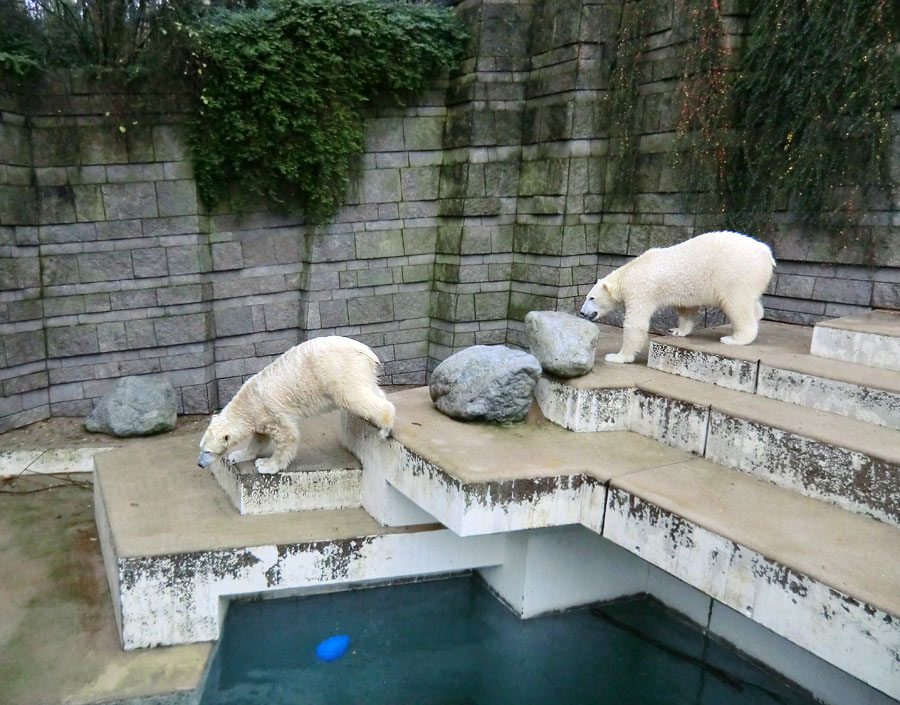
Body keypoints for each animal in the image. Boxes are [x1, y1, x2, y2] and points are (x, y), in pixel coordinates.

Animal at [197, 336, 394, 472]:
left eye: (207, 451)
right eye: (201, 447)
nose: (199, 464)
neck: (248, 402)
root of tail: (366, 351)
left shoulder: (271, 411)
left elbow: (287, 436)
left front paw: (266, 465)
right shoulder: (259, 417)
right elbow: (259, 438)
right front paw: (237, 455)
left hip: (340, 371)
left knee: (353, 396)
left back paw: (385, 426)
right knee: (370, 390)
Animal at [580, 231, 776, 364]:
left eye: (591, 298)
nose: (582, 313)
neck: (629, 271)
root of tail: (768, 254)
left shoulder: (641, 289)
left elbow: (635, 324)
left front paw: (617, 356)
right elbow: (687, 310)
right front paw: (676, 331)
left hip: (735, 273)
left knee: (737, 304)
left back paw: (735, 339)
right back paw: (757, 314)